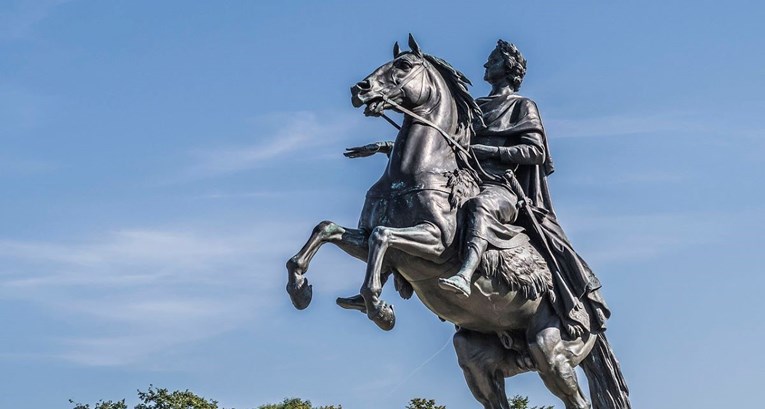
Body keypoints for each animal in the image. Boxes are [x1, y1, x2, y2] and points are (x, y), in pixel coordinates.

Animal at [284, 35, 628, 408]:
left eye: (404, 65)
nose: (359, 89)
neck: (415, 172)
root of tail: (594, 318)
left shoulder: (435, 244)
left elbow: (382, 236)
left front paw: (380, 309)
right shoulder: (365, 238)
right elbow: (327, 229)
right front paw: (300, 289)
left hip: (551, 352)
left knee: (576, 398)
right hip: (476, 358)